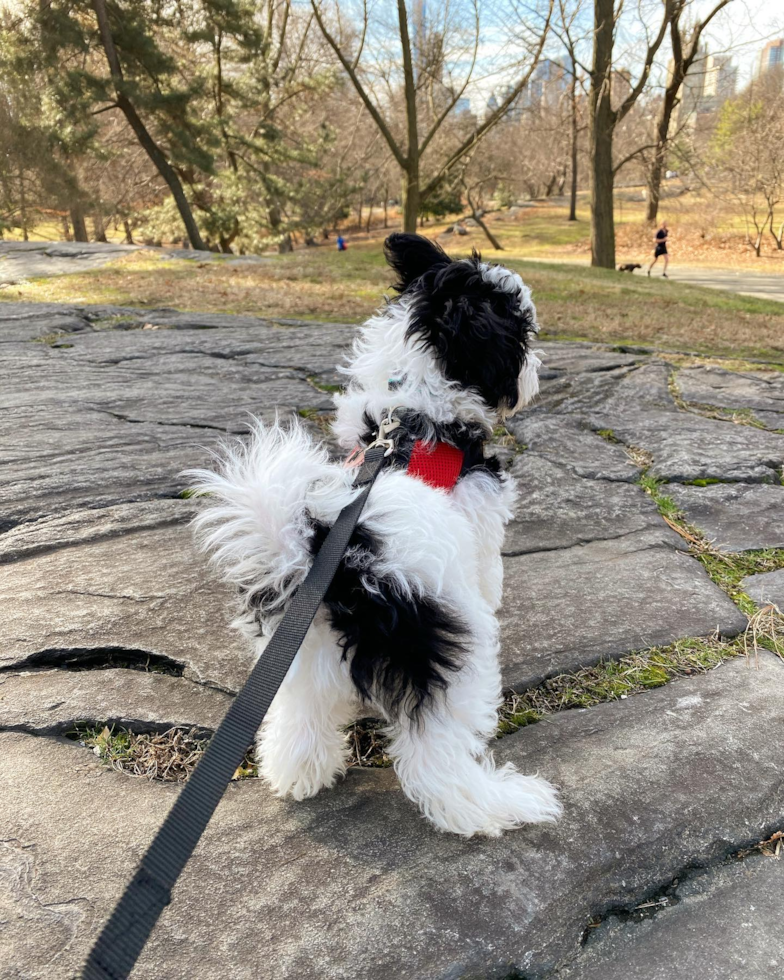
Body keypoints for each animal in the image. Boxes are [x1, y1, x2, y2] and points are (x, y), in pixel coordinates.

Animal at [188, 235, 564, 836]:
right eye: (522, 333)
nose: (537, 372)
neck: (411, 414)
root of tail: (340, 564)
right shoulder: (480, 522)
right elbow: (490, 575)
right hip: (446, 656)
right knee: (437, 759)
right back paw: (501, 803)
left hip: (300, 654)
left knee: (299, 718)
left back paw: (299, 777)